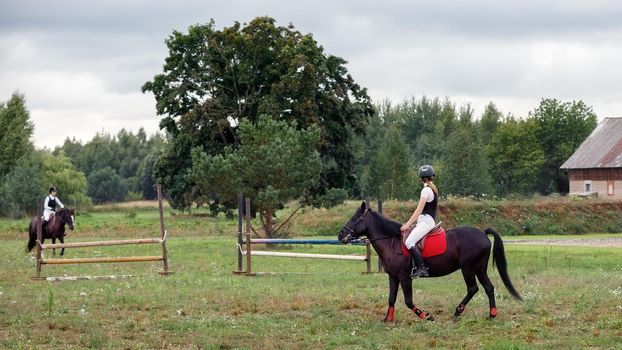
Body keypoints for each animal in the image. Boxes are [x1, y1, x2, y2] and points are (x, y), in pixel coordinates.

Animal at [338, 202, 524, 322]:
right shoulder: (393, 277)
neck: (391, 242)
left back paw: (458, 312)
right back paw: (492, 314)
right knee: (489, 288)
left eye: (354, 218)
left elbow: (408, 301)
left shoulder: (405, 277)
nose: (340, 235)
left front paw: (426, 315)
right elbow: (391, 299)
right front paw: (387, 319)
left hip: (468, 268)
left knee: (473, 288)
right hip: (479, 268)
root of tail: (483, 233)